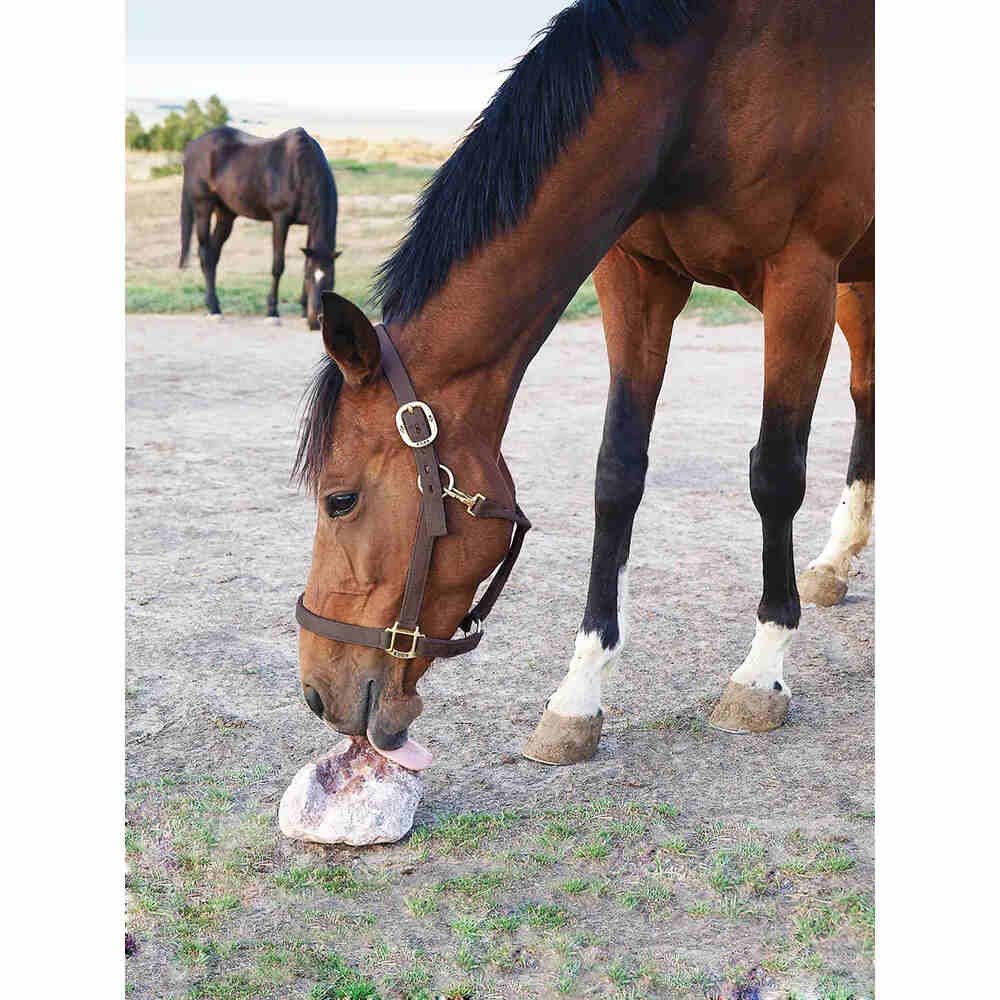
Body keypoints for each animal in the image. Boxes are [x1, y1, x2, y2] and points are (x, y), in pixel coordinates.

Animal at [179, 126, 340, 329]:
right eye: (310, 278)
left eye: (331, 280)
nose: (315, 321)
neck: (302, 170)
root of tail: (191, 147)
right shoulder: (280, 219)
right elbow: (278, 266)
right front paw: (272, 313)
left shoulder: (310, 225)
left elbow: (305, 262)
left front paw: (303, 312)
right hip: (203, 208)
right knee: (205, 254)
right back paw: (214, 310)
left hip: (225, 214)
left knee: (212, 256)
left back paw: (214, 306)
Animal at [292, 0, 874, 766]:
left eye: (340, 501)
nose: (316, 692)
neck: (707, 85)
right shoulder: (636, 277)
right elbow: (617, 473)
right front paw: (578, 695)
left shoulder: (801, 278)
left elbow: (775, 475)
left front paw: (760, 673)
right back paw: (836, 563)